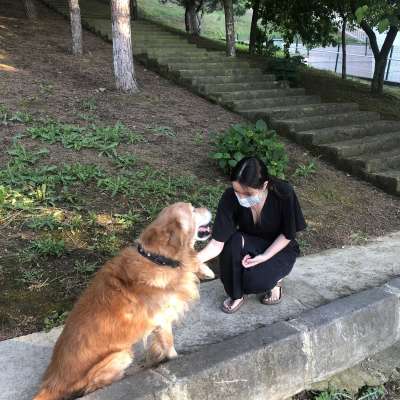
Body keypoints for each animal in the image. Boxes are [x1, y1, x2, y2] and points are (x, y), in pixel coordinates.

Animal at [32, 203, 214, 400]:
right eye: (193, 210)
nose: (208, 208)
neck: (156, 258)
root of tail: (50, 384)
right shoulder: (162, 320)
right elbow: (169, 346)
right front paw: (176, 360)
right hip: (121, 355)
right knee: (93, 386)